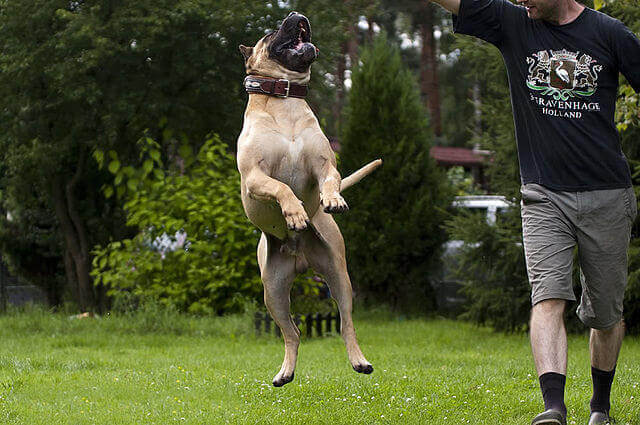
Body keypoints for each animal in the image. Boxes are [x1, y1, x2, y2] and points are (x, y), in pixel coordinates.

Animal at [239, 11, 380, 386]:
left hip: (339, 277)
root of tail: (299, 257)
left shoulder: (325, 165)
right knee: (292, 332)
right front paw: (295, 213)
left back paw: (359, 361)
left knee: (346, 324)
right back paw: (285, 372)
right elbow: (282, 188)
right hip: (272, 291)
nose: (295, 14)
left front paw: (331, 201)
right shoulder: (254, 178)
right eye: (272, 32)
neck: (284, 100)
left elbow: (328, 181)